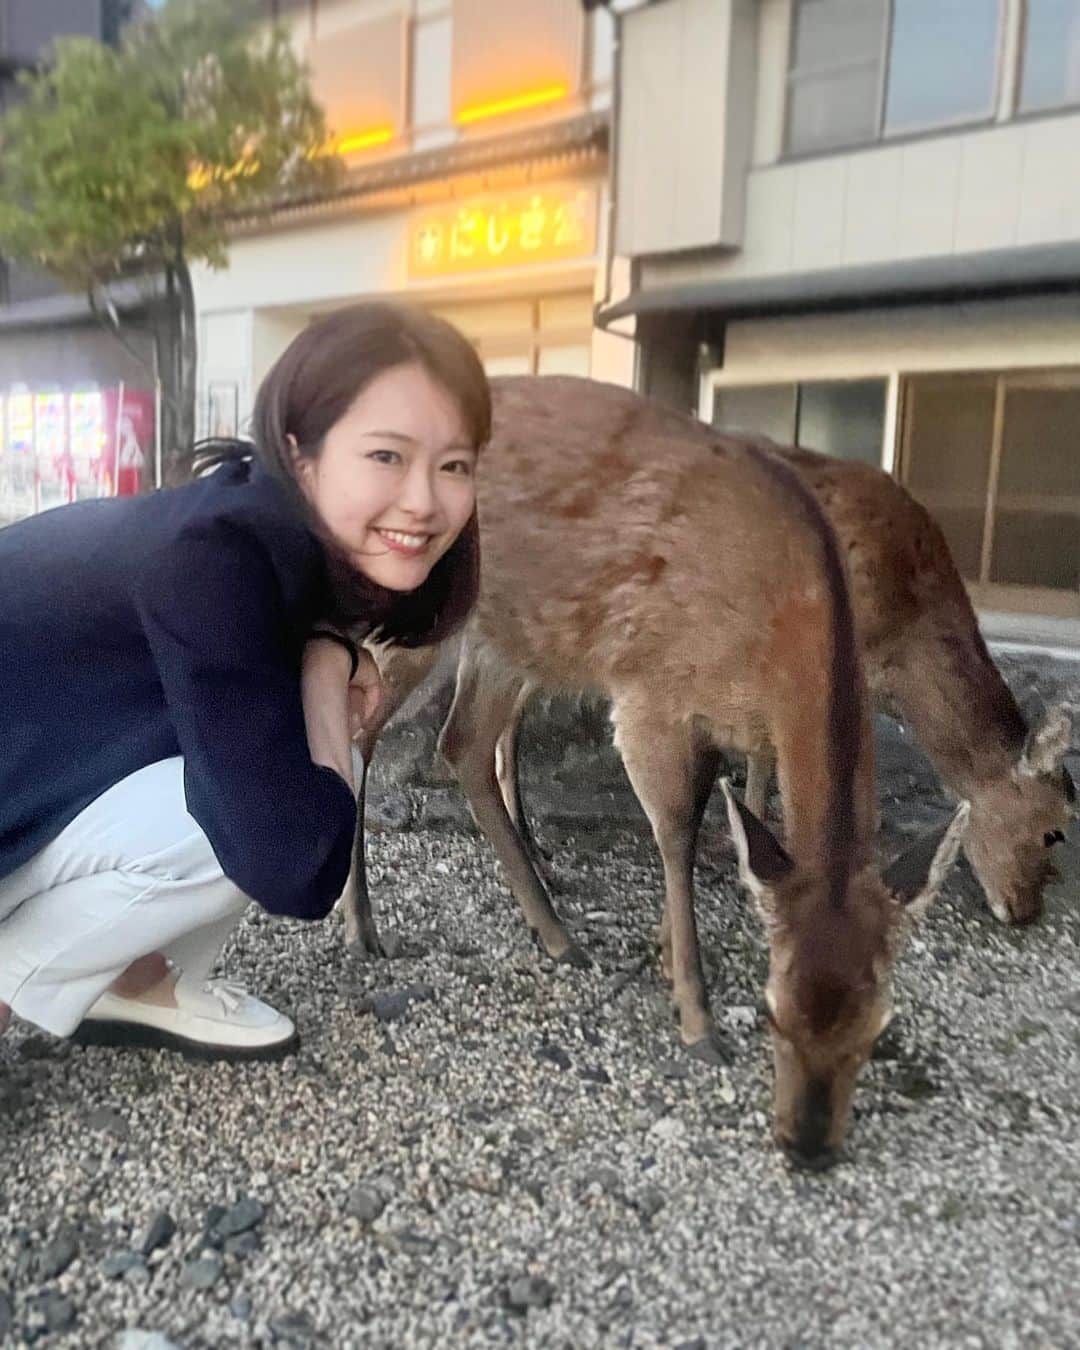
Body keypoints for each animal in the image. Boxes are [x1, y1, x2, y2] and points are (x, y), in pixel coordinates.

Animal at [343, 375, 969, 1169]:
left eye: (879, 1027)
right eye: (771, 1013)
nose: (807, 1148)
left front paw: (670, 954)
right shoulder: (650, 689)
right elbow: (675, 831)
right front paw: (696, 1016)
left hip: (508, 635)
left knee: (463, 743)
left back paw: (556, 932)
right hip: (414, 605)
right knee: (362, 728)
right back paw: (363, 925)